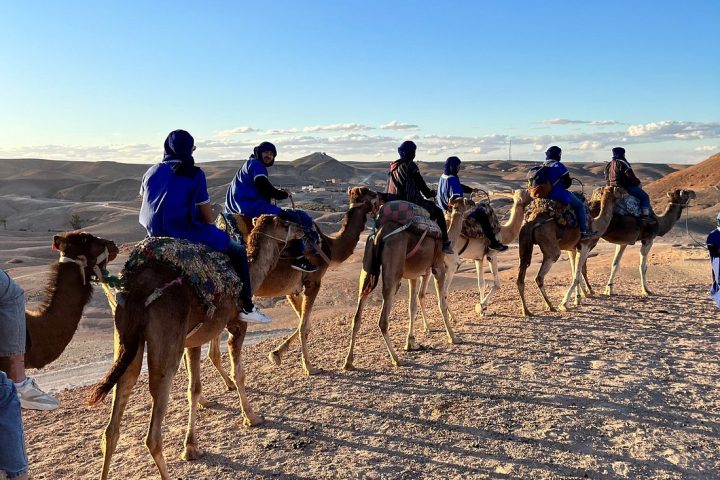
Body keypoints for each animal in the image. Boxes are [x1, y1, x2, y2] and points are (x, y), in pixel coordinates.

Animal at [88, 216, 304, 480]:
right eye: (284, 223)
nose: (301, 229)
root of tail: (138, 289)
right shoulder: (237, 325)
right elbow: (238, 373)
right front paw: (252, 417)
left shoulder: (193, 341)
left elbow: (194, 388)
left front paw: (190, 446)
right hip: (166, 345)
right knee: (152, 435)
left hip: (126, 342)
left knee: (112, 427)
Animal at [202, 187, 380, 378]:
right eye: (368, 193)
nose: (379, 195)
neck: (330, 248)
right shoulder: (313, 282)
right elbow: (303, 325)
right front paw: (309, 367)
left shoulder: (291, 289)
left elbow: (304, 322)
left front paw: (276, 354)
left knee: (211, 349)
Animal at [344, 197, 472, 370]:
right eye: (464, 200)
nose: (472, 202)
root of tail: (379, 234)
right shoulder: (437, 268)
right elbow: (441, 302)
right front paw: (453, 337)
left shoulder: (414, 275)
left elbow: (412, 306)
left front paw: (411, 342)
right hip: (394, 269)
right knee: (383, 319)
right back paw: (396, 359)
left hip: (367, 268)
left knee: (358, 313)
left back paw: (348, 361)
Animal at [516, 186, 624, 316]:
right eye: (618, 189)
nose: (624, 193)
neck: (596, 225)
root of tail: (531, 221)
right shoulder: (584, 247)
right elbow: (577, 274)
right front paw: (565, 304)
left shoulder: (572, 249)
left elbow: (575, 272)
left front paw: (581, 296)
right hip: (551, 248)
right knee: (539, 276)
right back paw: (550, 306)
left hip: (524, 244)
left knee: (521, 275)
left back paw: (526, 310)